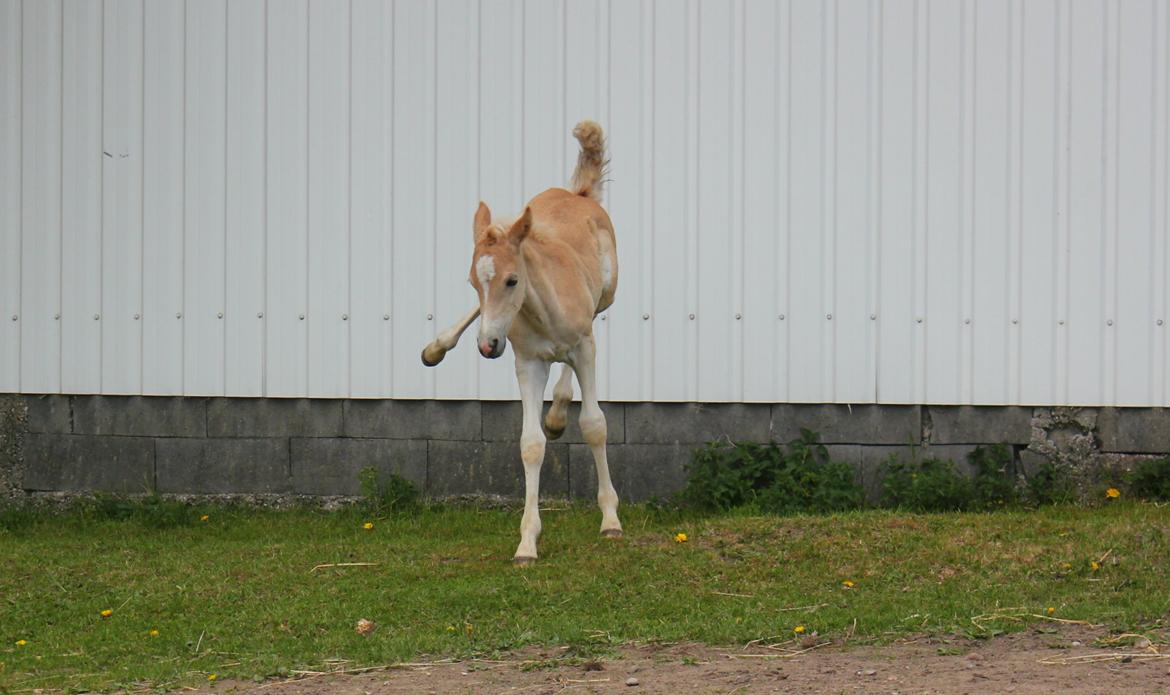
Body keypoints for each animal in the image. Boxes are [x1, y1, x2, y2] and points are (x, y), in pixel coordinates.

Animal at [421, 120, 622, 561]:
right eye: (473, 282)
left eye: (513, 280)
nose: (487, 346)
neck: (542, 309)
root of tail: (578, 194)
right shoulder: (528, 362)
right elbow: (531, 444)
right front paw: (527, 541)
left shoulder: (585, 346)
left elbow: (595, 424)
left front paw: (611, 520)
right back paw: (437, 347)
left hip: (606, 295)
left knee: (590, 325)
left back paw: (559, 412)